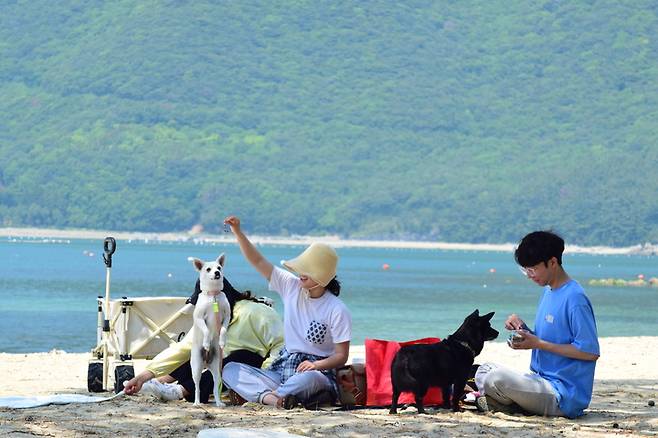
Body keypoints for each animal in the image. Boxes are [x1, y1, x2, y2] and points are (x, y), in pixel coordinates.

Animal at [187, 253, 231, 408]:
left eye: (219, 267)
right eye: (208, 269)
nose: (217, 273)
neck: (213, 296)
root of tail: (206, 363)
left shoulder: (226, 316)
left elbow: (223, 330)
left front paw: (222, 341)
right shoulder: (199, 318)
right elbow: (206, 330)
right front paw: (206, 343)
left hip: (217, 369)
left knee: (215, 387)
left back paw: (218, 402)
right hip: (196, 368)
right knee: (197, 387)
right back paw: (197, 402)